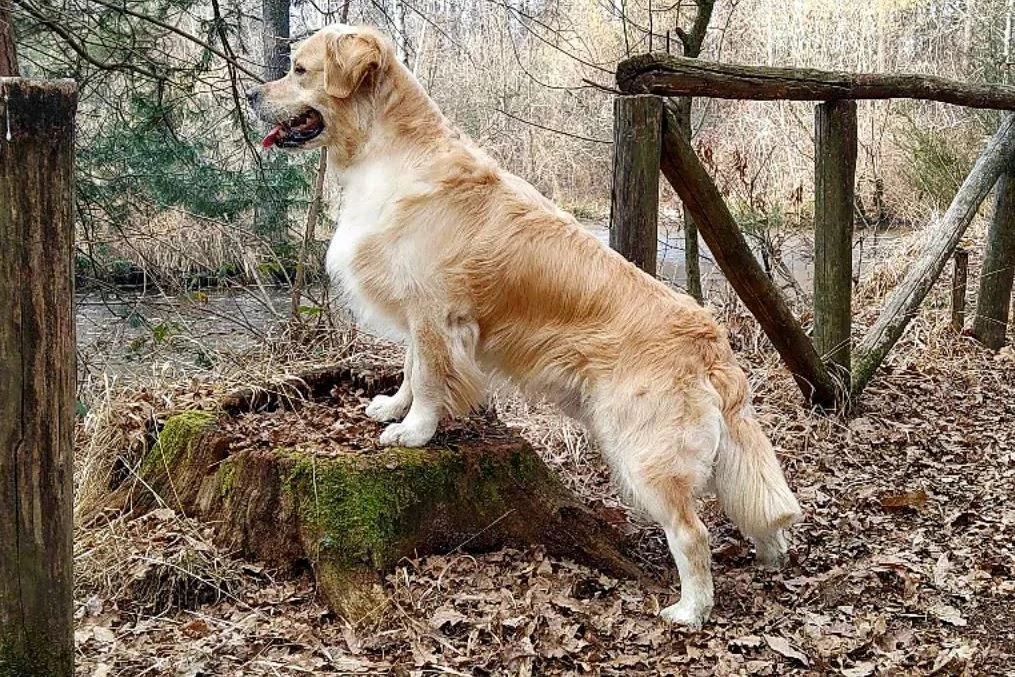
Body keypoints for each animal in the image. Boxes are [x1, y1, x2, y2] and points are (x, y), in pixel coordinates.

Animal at [247, 25, 799, 629]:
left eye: (299, 70)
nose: (252, 95)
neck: (391, 154)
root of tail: (709, 336)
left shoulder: (435, 311)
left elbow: (430, 378)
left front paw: (414, 433)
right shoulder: (421, 314)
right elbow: (412, 368)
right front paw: (393, 407)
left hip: (645, 449)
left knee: (692, 533)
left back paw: (690, 610)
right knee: (755, 504)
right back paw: (771, 557)